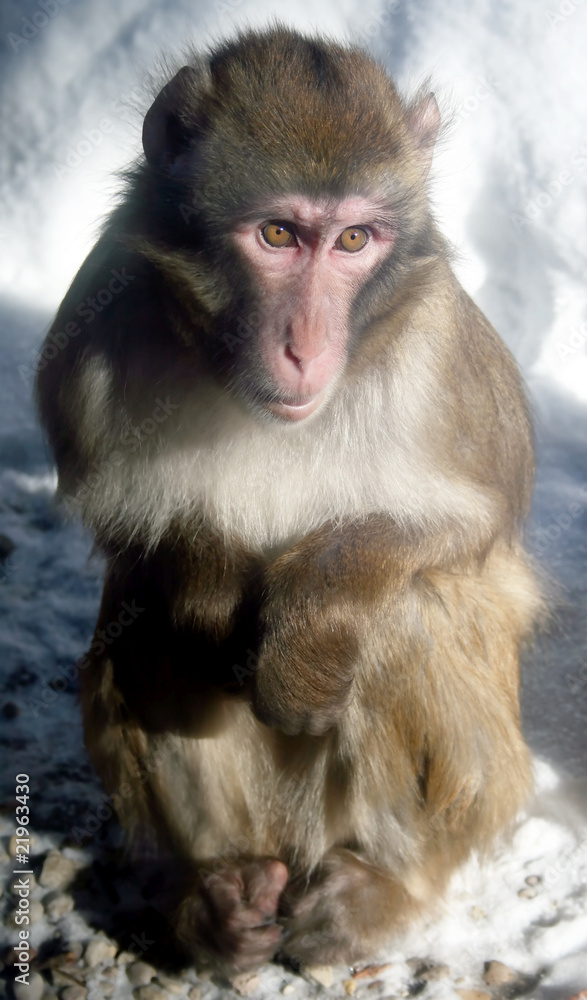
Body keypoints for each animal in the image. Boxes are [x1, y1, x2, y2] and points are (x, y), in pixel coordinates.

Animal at [36, 26, 543, 973]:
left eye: (353, 239)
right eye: (277, 233)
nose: (306, 346)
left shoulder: (439, 354)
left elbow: (466, 528)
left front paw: (301, 647)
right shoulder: (99, 332)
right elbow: (124, 523)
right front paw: (209, 588)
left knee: (403, 619)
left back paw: (380, 891)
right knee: (148, 634)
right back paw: (219, 895)